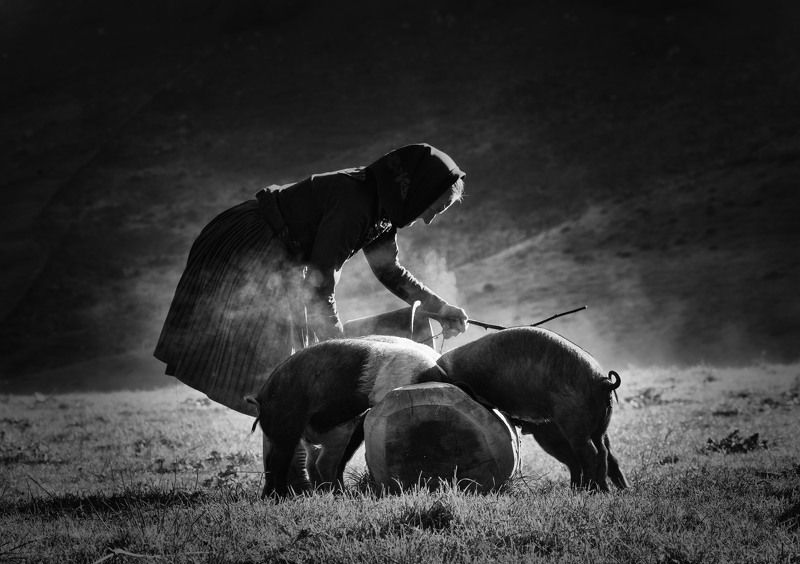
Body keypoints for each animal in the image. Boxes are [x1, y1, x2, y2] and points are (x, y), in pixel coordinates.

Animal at [417, 326, 628, 491]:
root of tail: (603, 381)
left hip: (574, 426)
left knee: (590, 455)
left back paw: (592, 490)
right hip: (599, 426)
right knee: (606, 454)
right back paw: (613, 489)